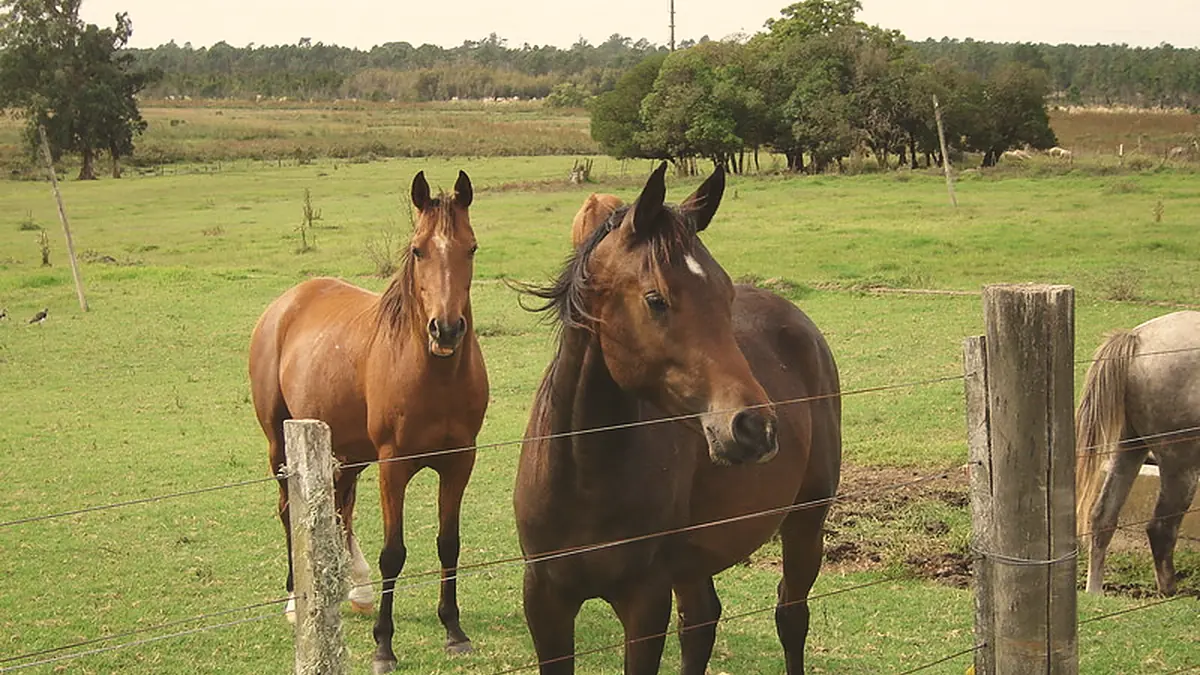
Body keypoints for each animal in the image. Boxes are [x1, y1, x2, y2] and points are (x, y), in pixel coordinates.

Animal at [248, 170, 489, 673]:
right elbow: (393, 554)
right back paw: (297, 601)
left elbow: (449, 543)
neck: (434, 375)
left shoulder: (460, 461)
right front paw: (384, 645)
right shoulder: (393, 466)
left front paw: (454, 631)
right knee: (288, 510)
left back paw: (352, 588)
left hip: (346, 450)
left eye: (471, 247)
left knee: (341, 508)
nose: (446, 329)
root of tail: (287, 303)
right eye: (417, 249)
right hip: (281, 444)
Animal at [513, 163, 842, 674]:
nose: (754, 428)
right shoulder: (545, 599)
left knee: (791, 615)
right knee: (701, 623)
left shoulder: (645, 601)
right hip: (692, 560)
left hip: (805, 522)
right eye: (656, 299)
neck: (582, 473)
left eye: (725, 295)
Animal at [1076, 310, 1200, 597]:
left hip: (1129, 447)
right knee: (1161, 529)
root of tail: (1137, 338)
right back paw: (1169, 593)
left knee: (1102, 517)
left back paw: (1095, 592)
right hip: (1181, 466)